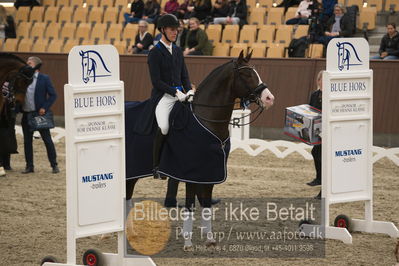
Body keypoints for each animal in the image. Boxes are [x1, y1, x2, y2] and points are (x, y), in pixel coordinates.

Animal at [125, 52, 276, 249]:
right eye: (246, 74)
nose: (269, 98)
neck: (206, 120)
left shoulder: (209, 171)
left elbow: (206, 203)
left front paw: (210, 237)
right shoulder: (191, 173)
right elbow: (190, 205)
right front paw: (188, 241)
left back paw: (130, 233)